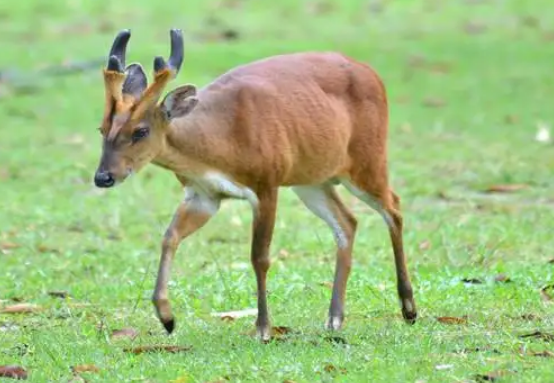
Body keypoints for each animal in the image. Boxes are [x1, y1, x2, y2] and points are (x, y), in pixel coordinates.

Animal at [95, 30, 414, 342]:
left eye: (141, 131)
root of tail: (372, 73)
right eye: (102, 128)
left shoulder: (266, 183)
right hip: (311, 179)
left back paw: (409, 309)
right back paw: (335, 319)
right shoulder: (203, 195)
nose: (103, 177)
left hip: (367, 158)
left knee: (394, 207)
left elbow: (259, 257)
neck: (220, 142)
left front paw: (263, 328)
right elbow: (169, 236)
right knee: (347, 222)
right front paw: (167, 318)